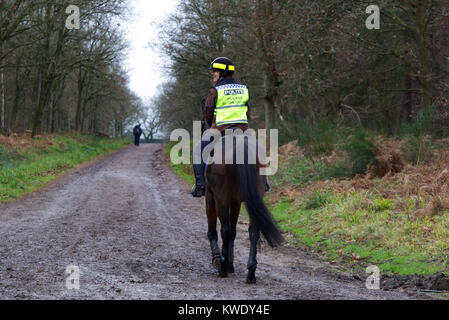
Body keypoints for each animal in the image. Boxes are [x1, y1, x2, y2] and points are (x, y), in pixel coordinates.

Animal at [204, 132, 282, 282]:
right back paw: (251, 272)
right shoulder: (235, 202)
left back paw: (223, 269)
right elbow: (234, 231)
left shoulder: (211, 196)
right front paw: (230, 264)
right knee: (253, 231)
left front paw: (218, 260)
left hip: (221, 197)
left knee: (225, 230)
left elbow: (214, 231)